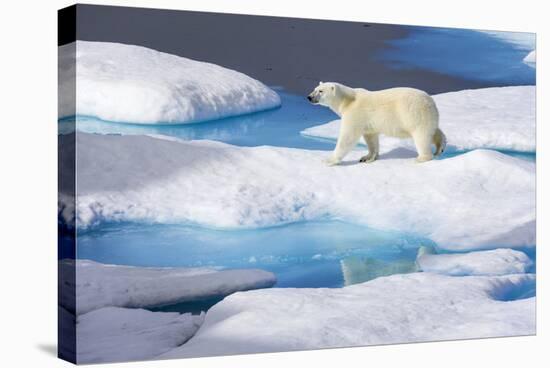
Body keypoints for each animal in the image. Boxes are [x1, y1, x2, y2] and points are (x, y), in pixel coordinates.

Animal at [308, 82, 446, 166]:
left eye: (320, 91)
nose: (309, 97)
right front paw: (367, 157)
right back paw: (440, 147)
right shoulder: (368, 122)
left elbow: (347, 137)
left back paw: (421, 158)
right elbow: (371, 138)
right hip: (426, 115)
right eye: (314, 89)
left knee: (421, 136)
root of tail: (430, 101)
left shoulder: (355, 114)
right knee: (434, 130)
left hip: (413, 113)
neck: (347, 101)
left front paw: (328, 160)